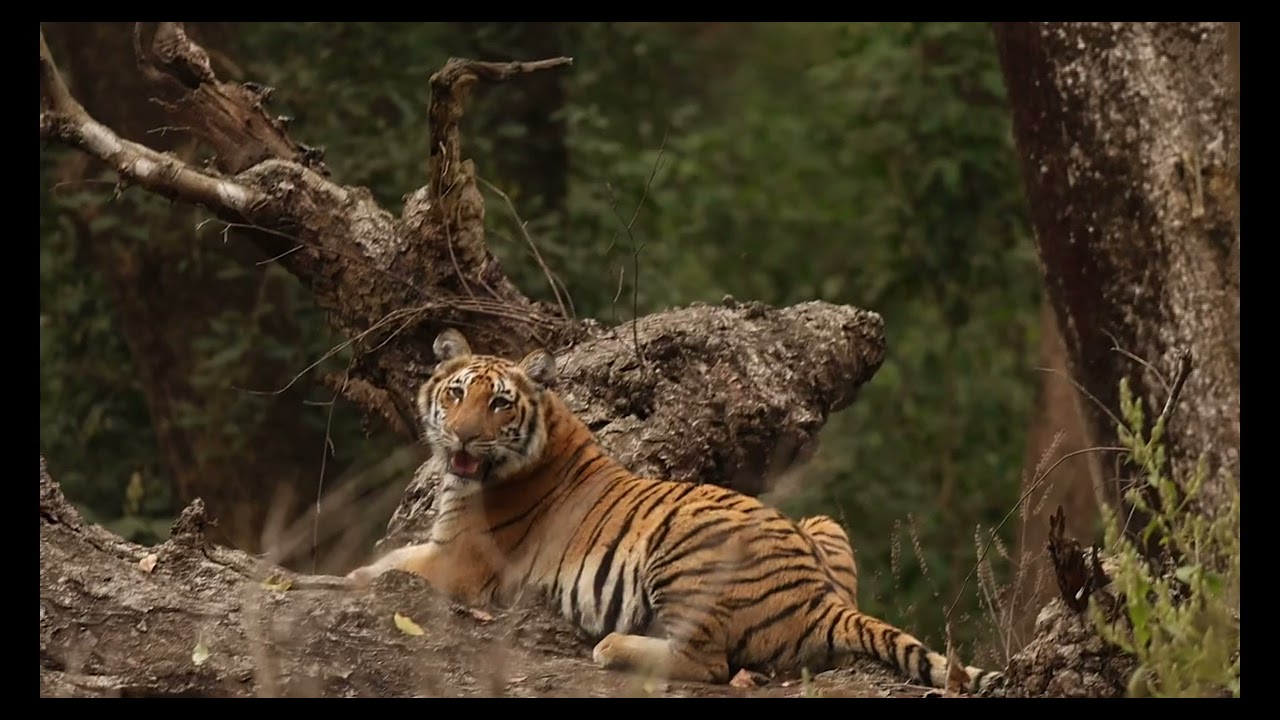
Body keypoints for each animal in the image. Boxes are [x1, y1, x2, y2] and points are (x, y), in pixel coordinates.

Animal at [347, 328, 1004, 693]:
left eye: (499, 404)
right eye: (456, 393)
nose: (461, 437)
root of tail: (819, 595)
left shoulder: (462, 561)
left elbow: (380, 570)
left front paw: (352, 575)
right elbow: (386, 559)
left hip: (683, 549)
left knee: (709, 663)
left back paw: (615, 647)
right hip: (822, 524)